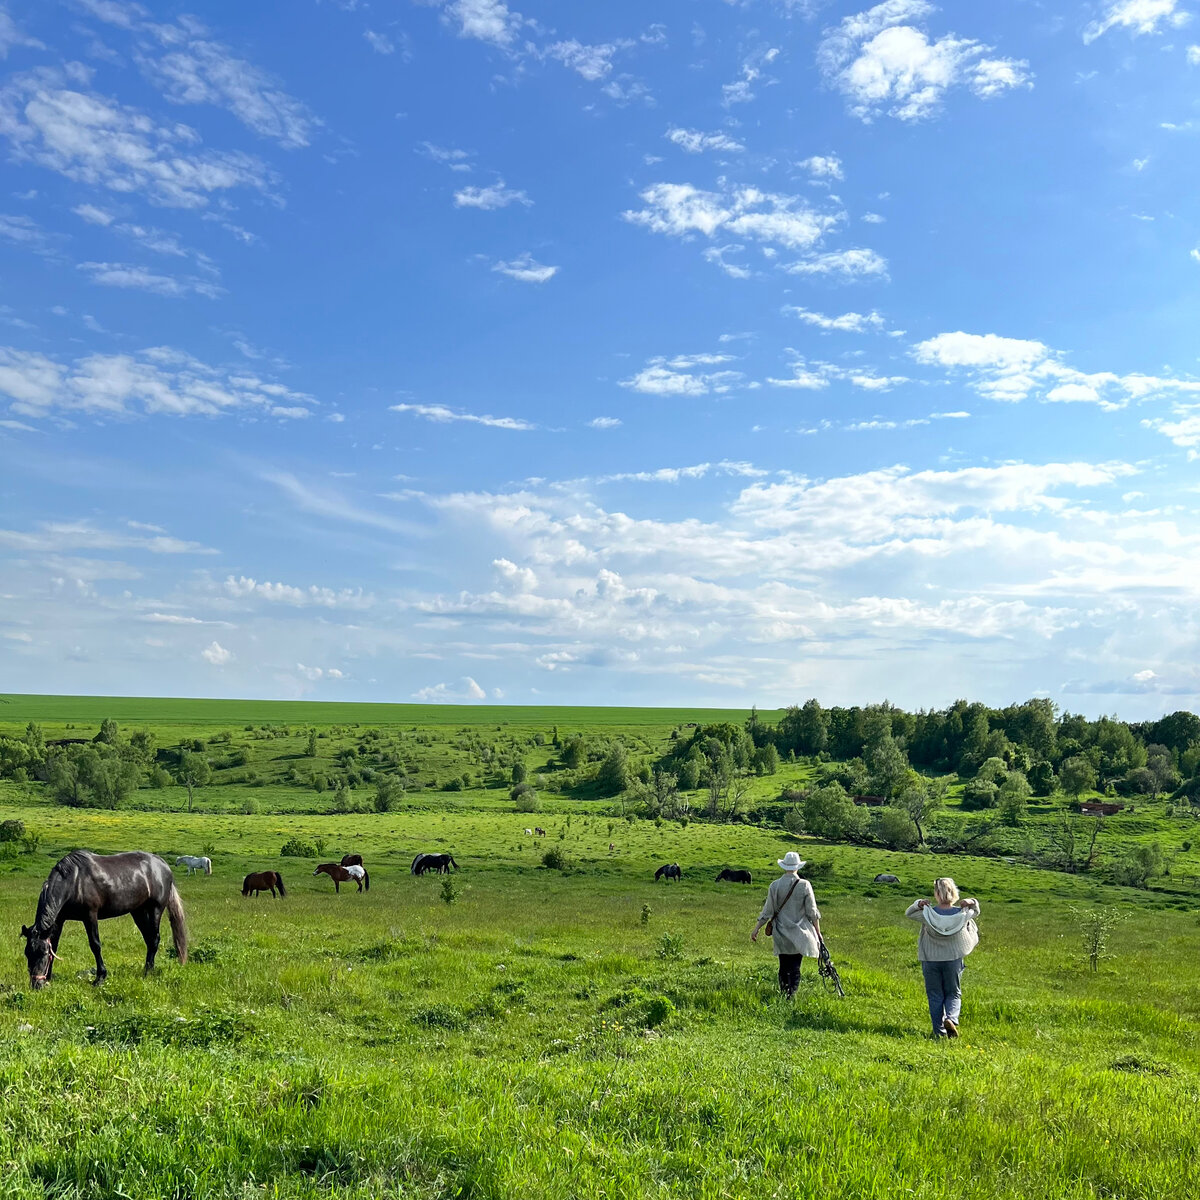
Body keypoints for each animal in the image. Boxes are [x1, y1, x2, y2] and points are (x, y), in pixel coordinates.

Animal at [20, 849, 187, 988]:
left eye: (43, 954)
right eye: (27, 953)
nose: (36, 985)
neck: (74, 881)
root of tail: (163, 865)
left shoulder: (90, 916)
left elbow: (95, 945)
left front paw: (100, 977)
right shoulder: (59, 920)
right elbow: (54, 945)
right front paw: (49, 977)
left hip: (155, 910)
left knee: (154, 939)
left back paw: (148, 972)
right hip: (138, 912)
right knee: (149, 939)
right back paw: (147, 968)